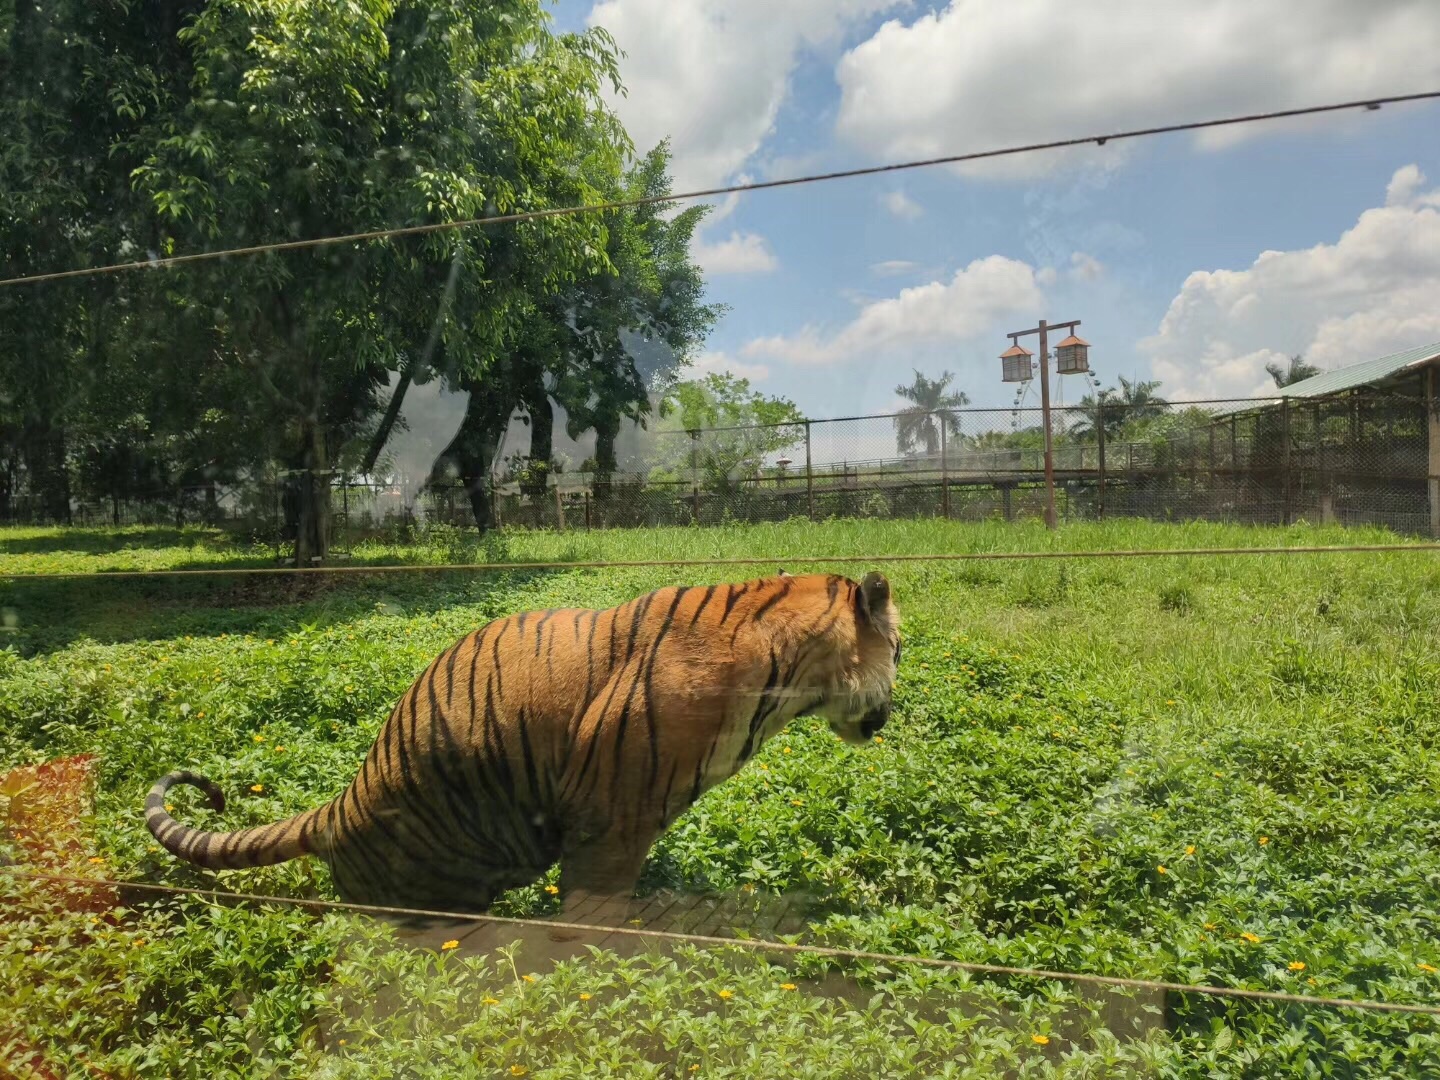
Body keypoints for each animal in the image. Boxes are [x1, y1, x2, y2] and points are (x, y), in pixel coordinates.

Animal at [143, 576, 898, 921]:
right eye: (899, 647)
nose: (890, 715)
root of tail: (340, 806)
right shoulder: (608, 818)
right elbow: (593, 916)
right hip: (432, 902)